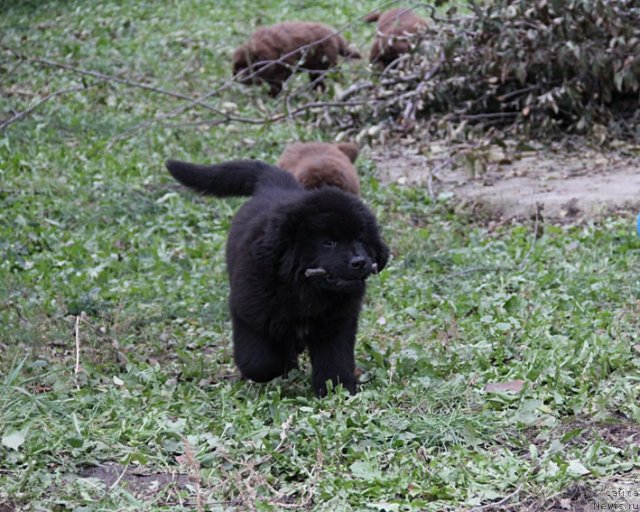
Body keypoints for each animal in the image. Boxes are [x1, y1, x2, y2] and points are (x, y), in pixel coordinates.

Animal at [165, 160, 388, 396]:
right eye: (329, 242)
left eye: (361, 239)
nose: (360, 262)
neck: (305, 290)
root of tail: (275, 185)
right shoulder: (249, 311)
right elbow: (259, 361)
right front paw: (280, 368)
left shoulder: (337, 322)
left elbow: (335, 358)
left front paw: (336, 389)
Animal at [231, 21, 362, 95]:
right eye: (238, 67)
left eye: (247, 66)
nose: (240, 77)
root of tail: (335, 35)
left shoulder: (283, 66)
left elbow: (277, 82)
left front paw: (271, 96)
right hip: (316, 67)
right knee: (318, 81)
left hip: (327, 62)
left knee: (336, 75)